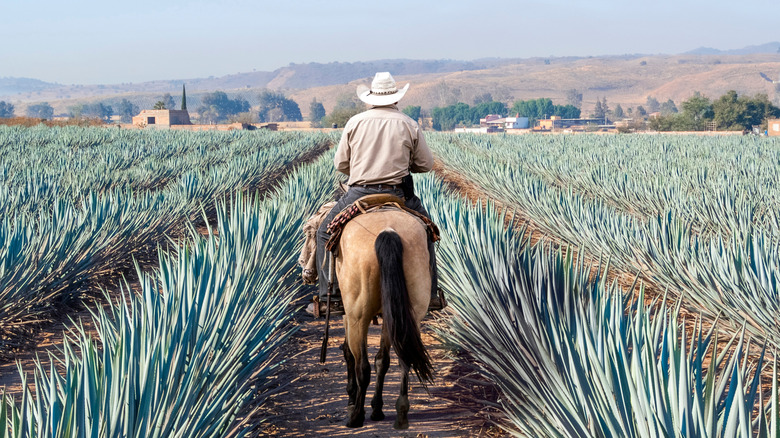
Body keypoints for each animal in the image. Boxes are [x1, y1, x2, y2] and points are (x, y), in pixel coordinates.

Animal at [334, 208, 436, 428]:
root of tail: (388, 231)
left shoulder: (348, 314)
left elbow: (349, 353)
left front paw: (352, 399)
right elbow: (383, 360)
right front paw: (377, 408)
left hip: (358, 315)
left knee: (362, 366)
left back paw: (356, 417)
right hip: (407, 312)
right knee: (404, 358)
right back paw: (401, 412)